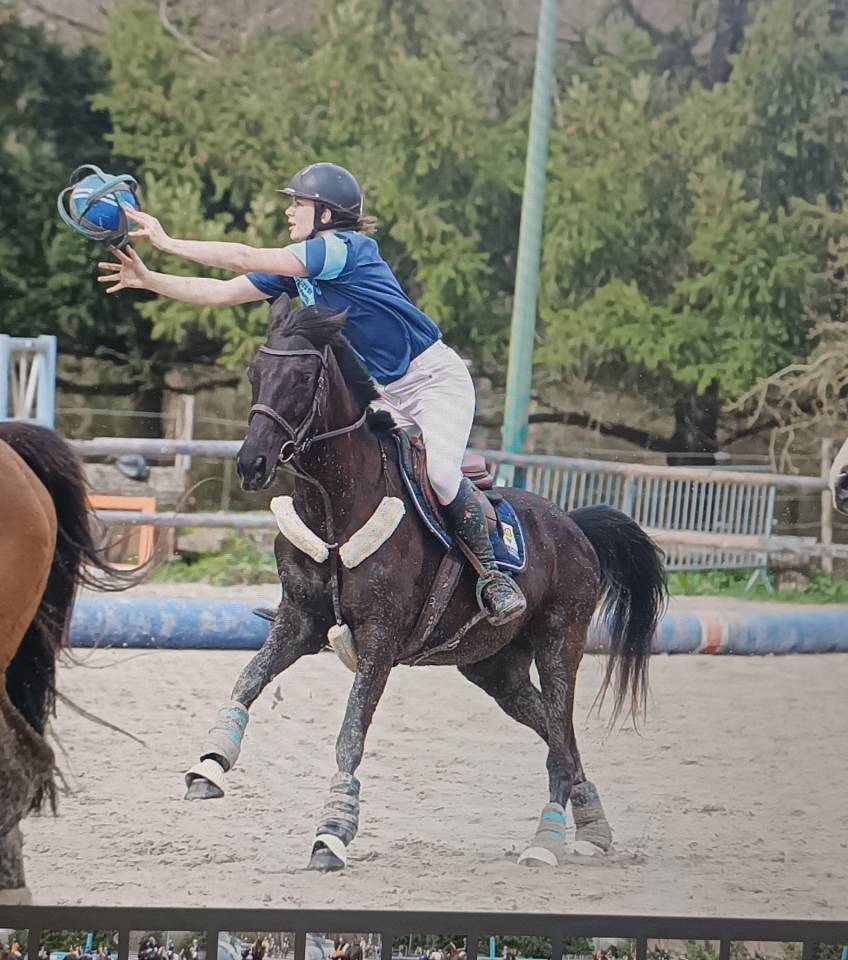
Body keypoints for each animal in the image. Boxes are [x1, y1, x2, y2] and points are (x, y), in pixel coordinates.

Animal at [183, 295, 667, 871]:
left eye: (301, 377)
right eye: (255, 374)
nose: (250, 464)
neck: (335, 505)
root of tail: (573, 525)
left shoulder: (379, 641)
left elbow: (350, 734)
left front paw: (331, 833)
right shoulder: (299, 622)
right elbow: (248, 680)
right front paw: (210, 764)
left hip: (559, 643)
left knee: (559, 737)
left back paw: (546, 841)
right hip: (494, 669)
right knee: (559, 736)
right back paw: (593, 826)